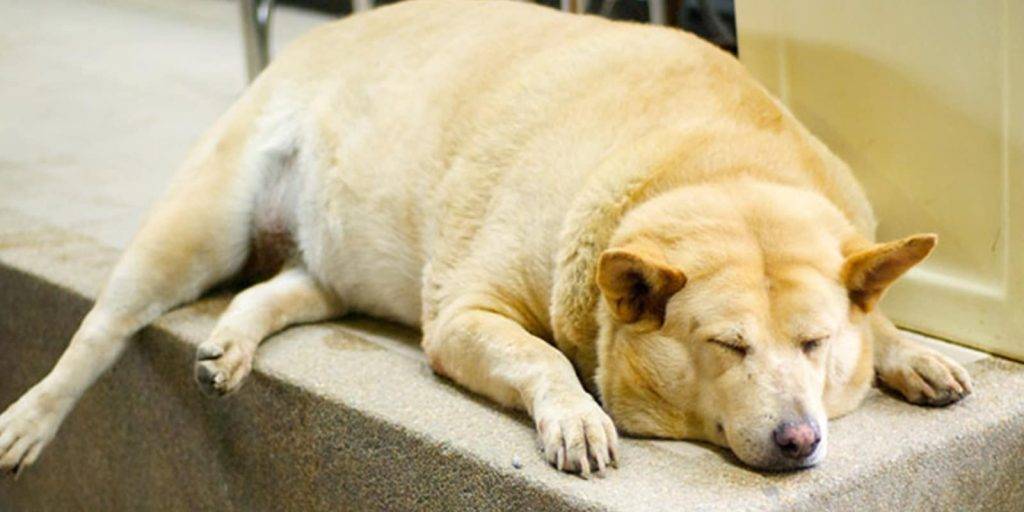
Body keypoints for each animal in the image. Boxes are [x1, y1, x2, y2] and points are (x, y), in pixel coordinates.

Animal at [0, 0, 970, 477]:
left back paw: (231, 344)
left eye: (814, 344)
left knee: (275, 291)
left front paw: (908, 350)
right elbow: (543, 360)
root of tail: (335, 28)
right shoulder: (465, 317)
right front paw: (576, 415)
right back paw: (30, 422)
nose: (802, 440)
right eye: (727, 347)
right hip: (195, 227)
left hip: (333, 268)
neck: (709, 164)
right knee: (100, 331)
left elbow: (881, 319)